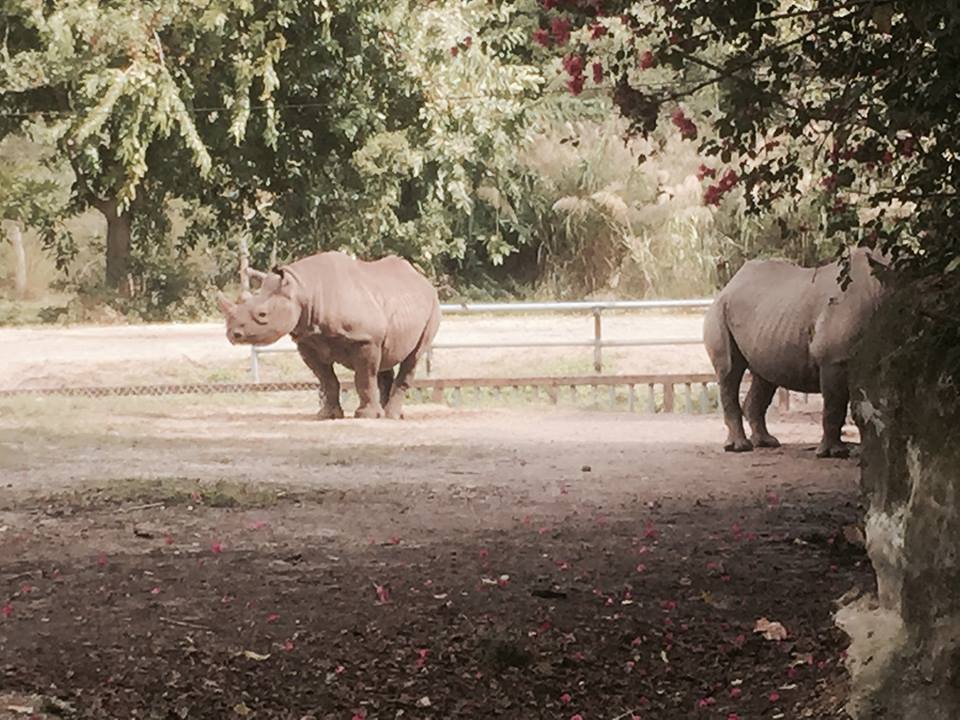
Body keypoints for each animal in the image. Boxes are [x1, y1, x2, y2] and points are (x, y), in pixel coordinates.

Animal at [218, 251, 441, 420]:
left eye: (262, 314)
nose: (232, 334)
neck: (303, 289)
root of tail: (423, 280)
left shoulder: (365, 339)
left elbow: (363, 378)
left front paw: (365, 416)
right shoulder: (308, 341)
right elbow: (326, 380)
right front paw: (327, 415)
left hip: (432, 306)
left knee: (414, 356)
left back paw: (391, 415)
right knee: (386, 357)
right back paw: (385, 413)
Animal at [703, 247, 886, 457]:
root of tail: (728, 285)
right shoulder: (833, 359)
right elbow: (835, 405)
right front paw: (834, 453)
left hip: (766, 318)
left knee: (764, 376)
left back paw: (766, 442)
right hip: (720, 310)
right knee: (729, 372)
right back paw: (739, 447)